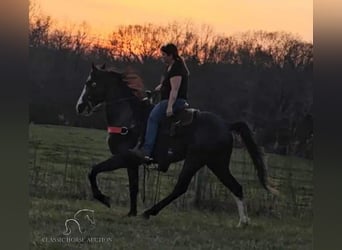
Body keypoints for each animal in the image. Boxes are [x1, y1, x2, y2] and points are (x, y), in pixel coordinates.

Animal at [75, 63, 278, 227]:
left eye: (91, 83)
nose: (80, 106)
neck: (129, 117)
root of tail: (226, 125)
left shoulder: (123, 157)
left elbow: (94, 171)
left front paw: (104, 199)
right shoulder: (132, 162)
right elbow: (133, 187)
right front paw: (131, 213)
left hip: (195, 160)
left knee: (180, 187)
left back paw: (149, 212)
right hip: (216, 164)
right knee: (235, 186)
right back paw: (243, 222)